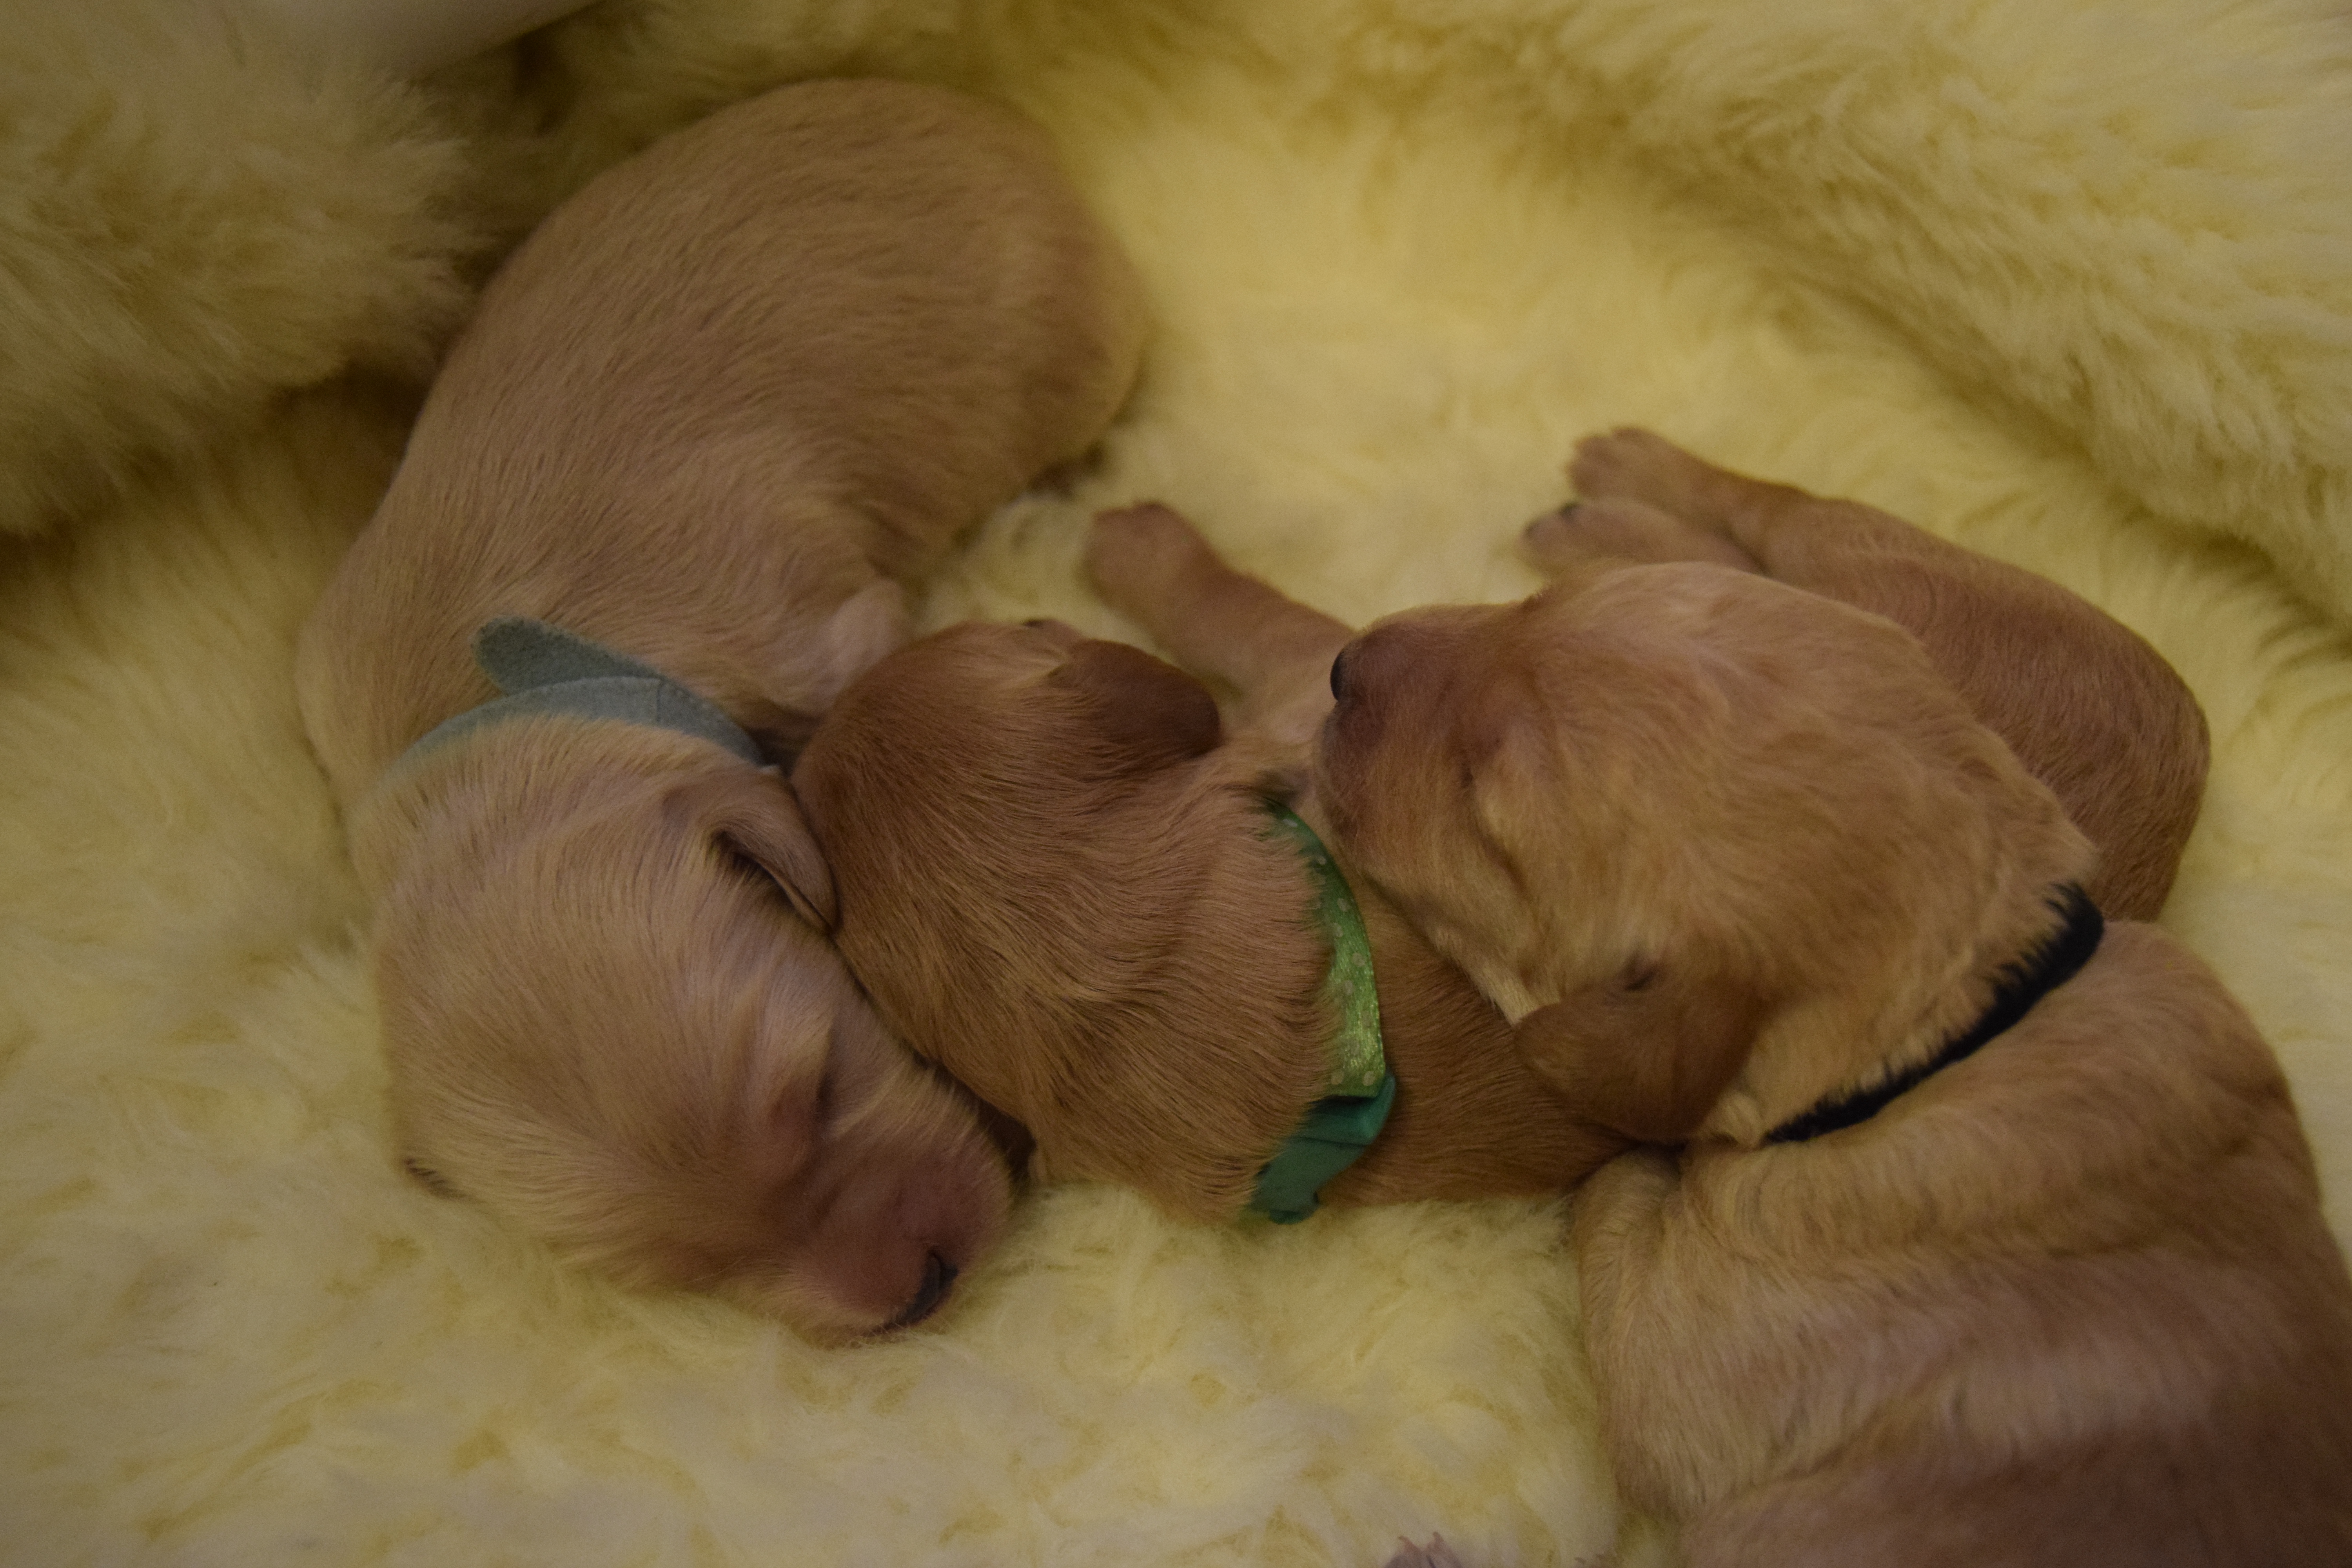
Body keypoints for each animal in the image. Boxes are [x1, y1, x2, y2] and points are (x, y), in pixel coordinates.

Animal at [299, 80, 1143, 1345]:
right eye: (687, 1269)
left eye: (818, 1088)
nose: (920, 1291)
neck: (504, 706)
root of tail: (990, 123)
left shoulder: (818, 632)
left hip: (1076, 343)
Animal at [1317, 552, 2352, 1561]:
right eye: (1537, 603)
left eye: (1477, 804)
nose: (1341, 667)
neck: (1968, 1021)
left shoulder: (1676, 1351)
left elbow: (1621, 1195)